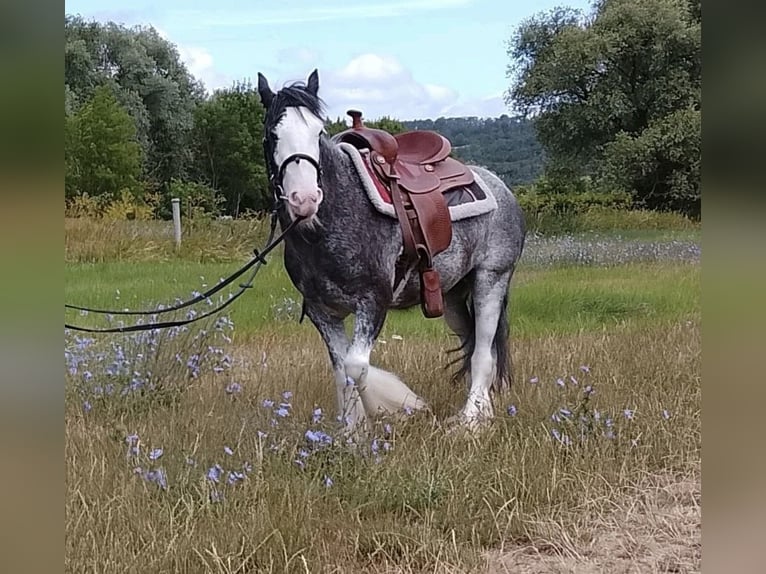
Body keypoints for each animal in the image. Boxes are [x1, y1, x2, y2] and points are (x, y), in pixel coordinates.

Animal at [256, 69, 526, 432]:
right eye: (271, 136)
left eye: (318, 132)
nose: (305, 199)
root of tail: (500, 187)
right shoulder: (321, 311)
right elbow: (341, 371)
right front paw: (350, 431)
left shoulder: (373, 302)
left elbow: (357, 367)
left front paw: (396, 405)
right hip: (454, 297)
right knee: (475, 347)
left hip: (491, 280)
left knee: (483, 351)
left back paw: (470, 421)